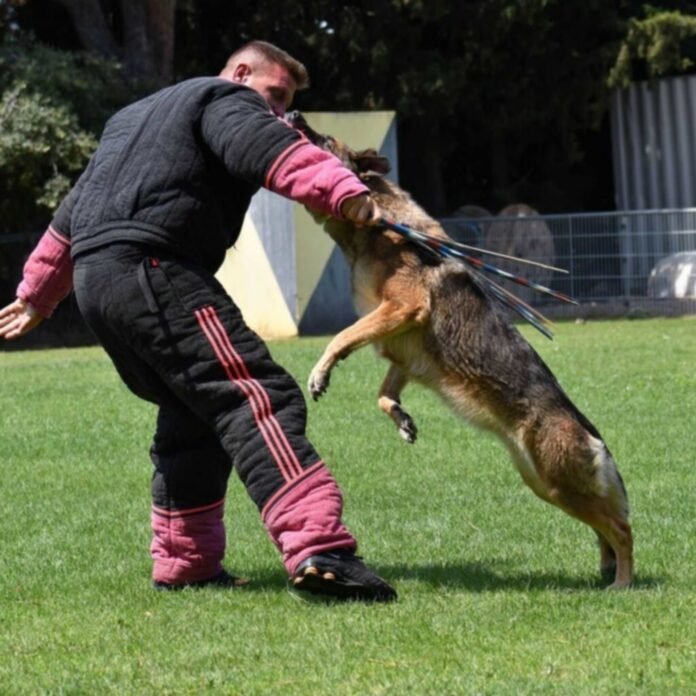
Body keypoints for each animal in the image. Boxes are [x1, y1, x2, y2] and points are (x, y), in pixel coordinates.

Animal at [286, 110, 632, 588]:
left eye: (325, 137)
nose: (295, 113)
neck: (376, 227)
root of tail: (592, 434)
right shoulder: (402, 348)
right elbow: (383, 391)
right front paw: (401, 419)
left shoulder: (402, 309)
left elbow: (341, 337)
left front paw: (321, 372)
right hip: (546, 485)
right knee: (606, 527)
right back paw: (607, 570)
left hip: (559, 483)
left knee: (622, 528)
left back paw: (624, 583)